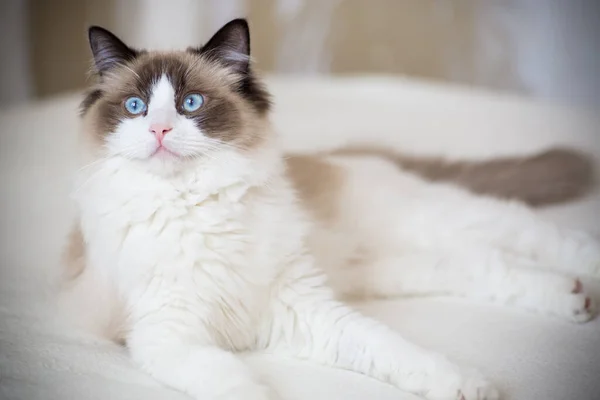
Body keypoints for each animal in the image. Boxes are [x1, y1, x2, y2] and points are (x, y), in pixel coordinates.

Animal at [62, 18, 600, 400]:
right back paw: (573, 297)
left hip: (433, 218)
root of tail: (349, 152)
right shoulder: (171, 335)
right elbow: (233, 380)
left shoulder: (302, 308)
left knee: (528, 234)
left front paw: (468, 385)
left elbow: (392, 347)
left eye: (190, 103)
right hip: (395, 266)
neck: (197, 205)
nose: (159, 130)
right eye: (135, 108)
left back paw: (581, 284)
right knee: (485, 265)